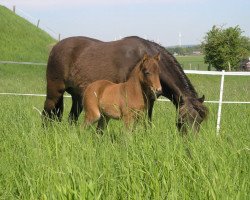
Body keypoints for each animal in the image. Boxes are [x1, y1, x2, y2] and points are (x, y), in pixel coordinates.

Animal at [42, 35, 207, 134]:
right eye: (183, 119)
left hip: (78, 97)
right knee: (46, 114)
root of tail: (56, 47)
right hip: (54, 93)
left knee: (71, 119)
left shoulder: (149, 101)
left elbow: (147, 123)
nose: (191, 142)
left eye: (200, 120)